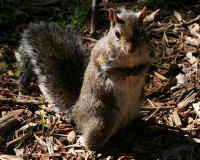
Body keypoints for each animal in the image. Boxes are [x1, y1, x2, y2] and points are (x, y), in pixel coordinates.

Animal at [17, 7, 154, 150]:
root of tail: (76, 113)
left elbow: (146, 66)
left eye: (142, 31)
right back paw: (81, 143)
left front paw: (137, 71)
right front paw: (126, 72)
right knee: (91, 140)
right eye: (117, 33)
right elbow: (109, 70)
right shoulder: (101, 57)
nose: (131, 49)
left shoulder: (149, 55)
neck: (129, 57)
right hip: (104, 120)